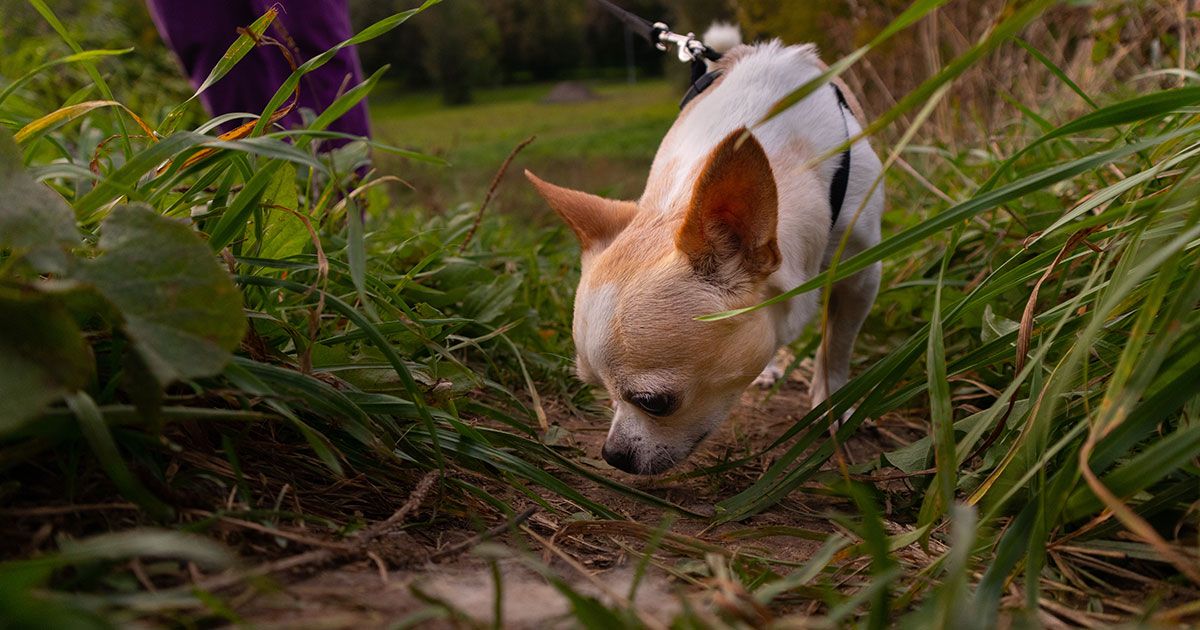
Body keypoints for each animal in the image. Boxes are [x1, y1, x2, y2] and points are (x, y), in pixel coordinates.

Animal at [525, 39, 883, 470]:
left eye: (655, 402)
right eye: (599, 390)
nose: (613, 455)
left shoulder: (862, 275)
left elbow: (837, 344)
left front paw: (832, 401)